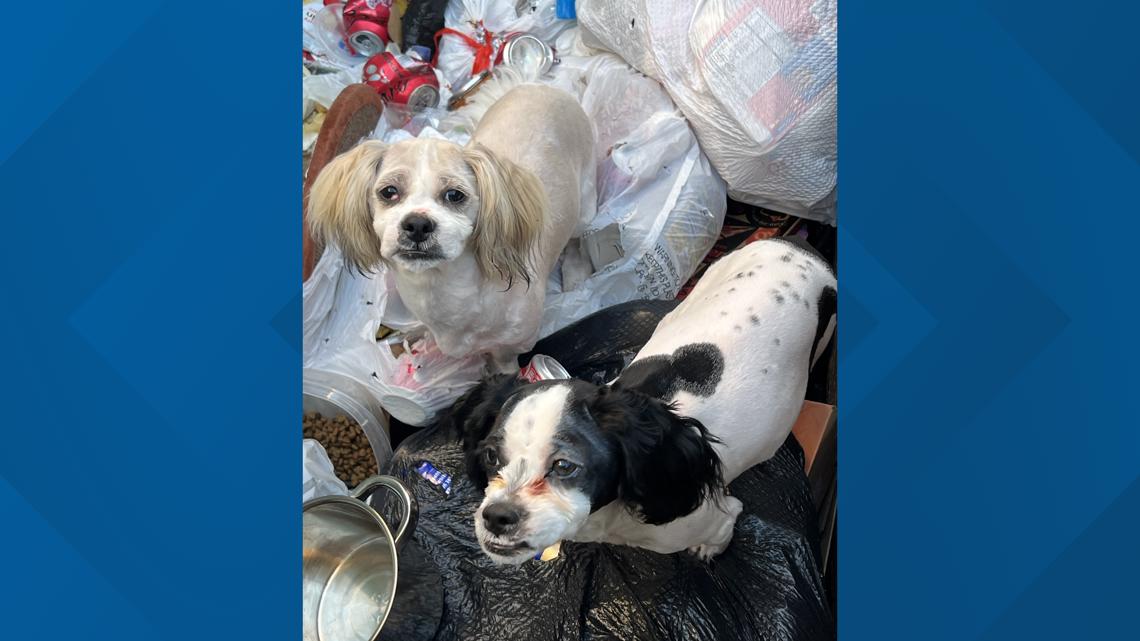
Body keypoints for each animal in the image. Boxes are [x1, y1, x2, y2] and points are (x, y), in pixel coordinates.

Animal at [307, 81, 601, 369]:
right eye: (388, 192)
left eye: (454, 195)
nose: (417, 224)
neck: (446, 292)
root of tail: (541, 86)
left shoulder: (514, 343)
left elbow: (504, 362)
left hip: (584, 209)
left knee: (578, 238)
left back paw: (576, 272)